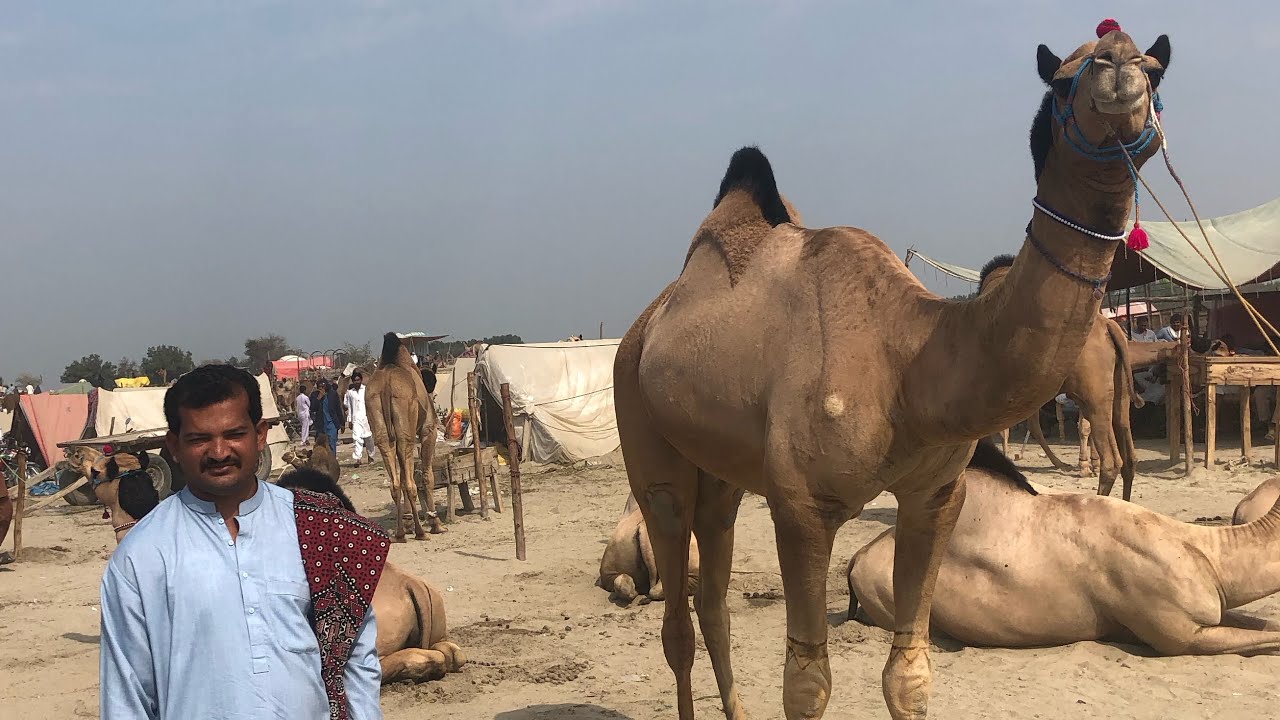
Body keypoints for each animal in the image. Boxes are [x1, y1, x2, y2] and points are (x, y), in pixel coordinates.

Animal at [366, 332, 442, 541]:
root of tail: (386, 387)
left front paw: (407, 522)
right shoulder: (428, 431)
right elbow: (427, 476)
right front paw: (436, 523)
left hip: (381, 426)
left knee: (395, 481)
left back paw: (400, 533)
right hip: (406, 427)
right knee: (409, 482)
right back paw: (421, 532)